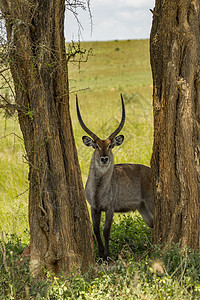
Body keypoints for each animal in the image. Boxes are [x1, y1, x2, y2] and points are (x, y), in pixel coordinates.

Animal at [76, 94, 153, 260]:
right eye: (96, 145)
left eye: (110, 145)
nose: (104, 158)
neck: (98, 189)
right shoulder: (94, 207)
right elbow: (96, 230)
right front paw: (100, 255)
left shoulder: (110, 208)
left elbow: (106, 230)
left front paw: (107, 255)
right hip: (143, 208)